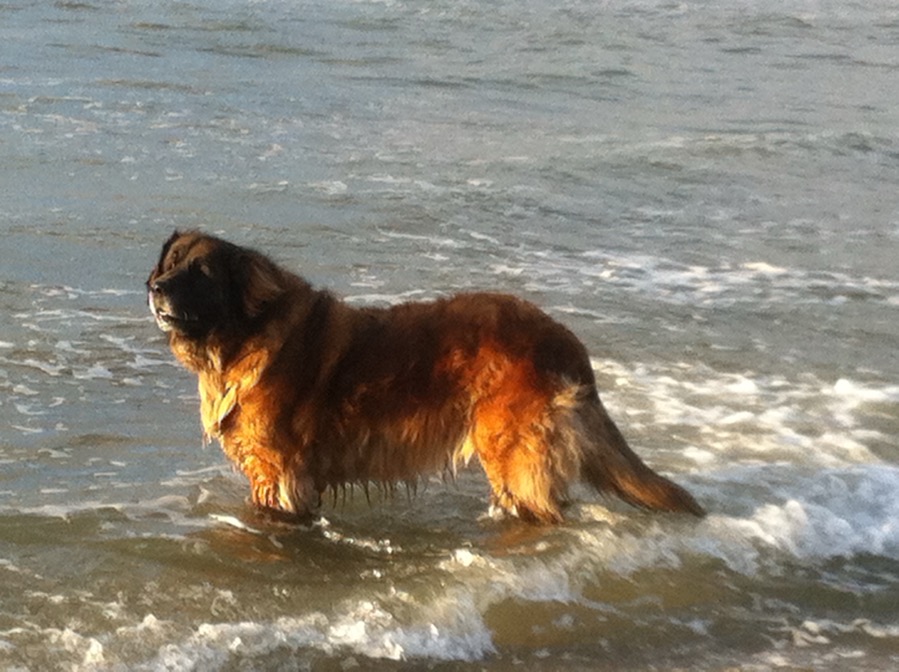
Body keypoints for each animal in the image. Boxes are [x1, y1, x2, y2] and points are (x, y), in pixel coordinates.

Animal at [148, 231, 708, 524]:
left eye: (201, 273)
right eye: (170, 262)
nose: (154, 287)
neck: (240, 336)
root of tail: (563, 337)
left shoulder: (281, 475)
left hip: (511, 451)